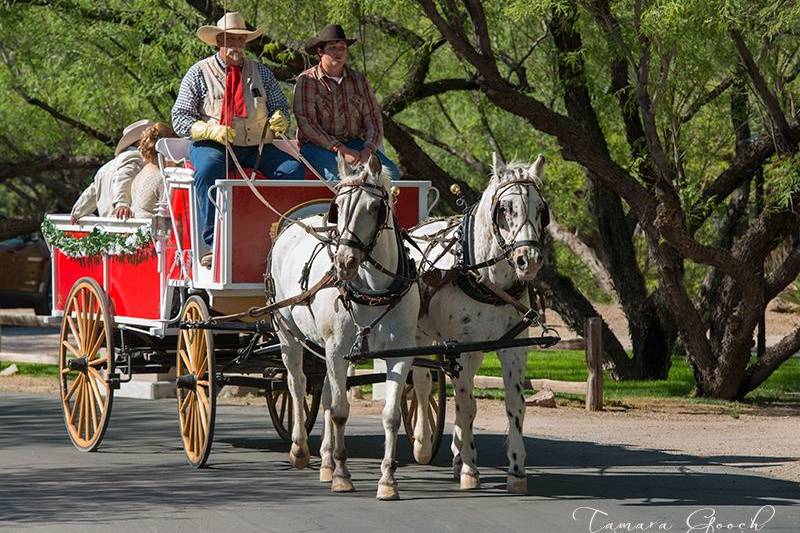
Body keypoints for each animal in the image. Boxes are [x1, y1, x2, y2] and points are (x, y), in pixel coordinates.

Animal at [268, 153, 418, 498]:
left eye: (375, 207)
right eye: (338, 206)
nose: (345, 263)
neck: (374, 289)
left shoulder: (400, 353)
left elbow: (390, 416)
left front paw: (387, 480)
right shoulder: (337, 350)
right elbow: (339, 411)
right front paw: (342, 474)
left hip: (323, 348)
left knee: (323, 392)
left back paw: (324, 461)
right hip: (288, 334)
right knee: (297, 385)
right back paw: (300, 450)